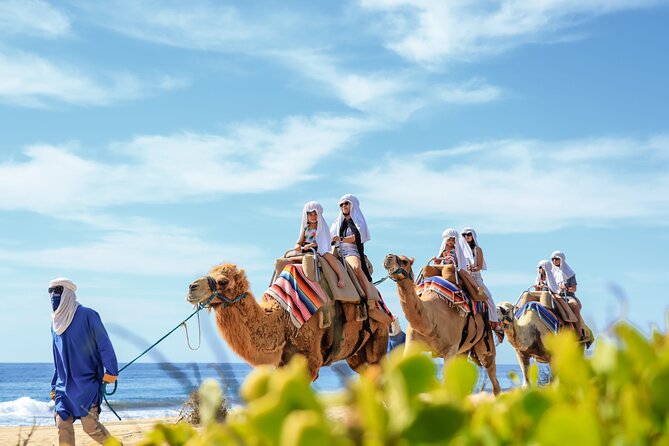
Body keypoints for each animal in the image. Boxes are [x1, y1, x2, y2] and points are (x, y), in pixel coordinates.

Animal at [186, 263, 389, 379]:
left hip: (379, 335)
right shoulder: (283, 364)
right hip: (355, 354)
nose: (191, 287)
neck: (284, 320)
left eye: (223, 281)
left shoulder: (311, 360)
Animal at [383, 254, 501, 395]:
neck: (430, 322)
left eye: (405, 261)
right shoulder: (411, 345)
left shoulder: (450, 349)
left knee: (494, 378)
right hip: (463, 351)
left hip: (485, 344)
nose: (388, 257)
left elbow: (447, 385)